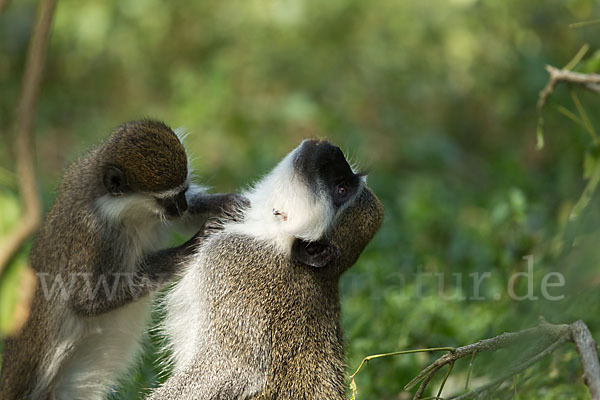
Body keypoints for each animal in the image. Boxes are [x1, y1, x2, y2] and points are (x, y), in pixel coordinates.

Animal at [0, 120, 246, 400]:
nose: (182, 206)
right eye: (168, 200)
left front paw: (226, 203)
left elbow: (186, 221)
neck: (124, 212)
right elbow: (87, 300)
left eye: (184, 192)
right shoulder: (94, 239)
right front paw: (191, 246)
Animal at [147, 139, 382, 398]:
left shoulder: (227, 260)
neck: (272, 237)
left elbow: (231, 371)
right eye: (346, 181)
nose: (331, 150)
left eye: (342, 190)